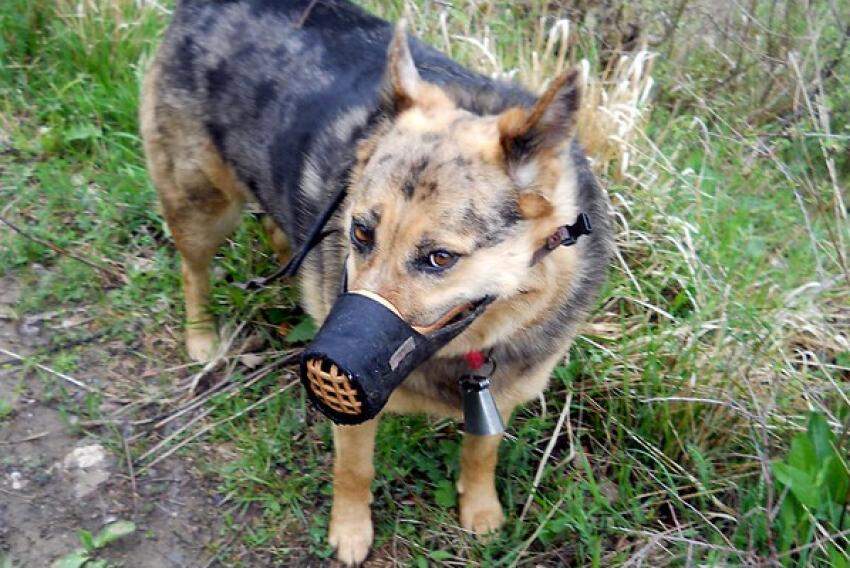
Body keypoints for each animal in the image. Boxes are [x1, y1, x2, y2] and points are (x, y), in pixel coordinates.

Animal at [142, 0, 612, 564]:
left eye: (439, 258)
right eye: (361, 232)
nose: (328, 360)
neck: (471, 344)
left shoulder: (497, 393)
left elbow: (481, 452)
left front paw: (480, 511)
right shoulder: (356, 414)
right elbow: (354, 469)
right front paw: (350, 531)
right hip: (203, 206)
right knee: (193, 270)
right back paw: (202, 336)